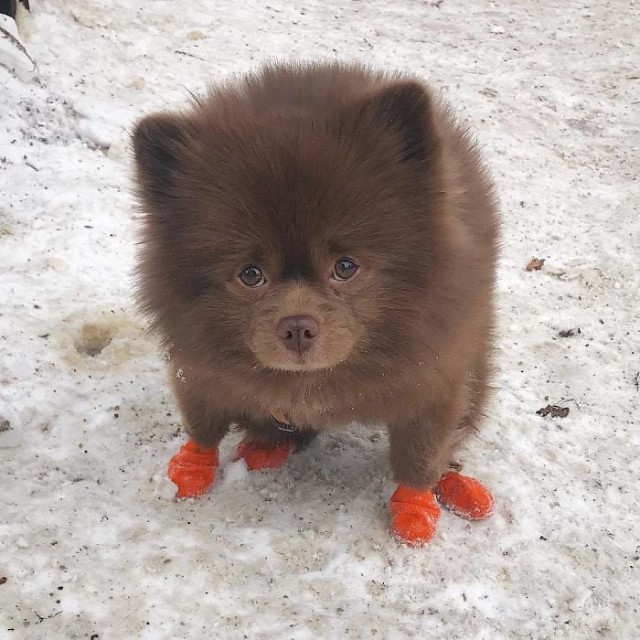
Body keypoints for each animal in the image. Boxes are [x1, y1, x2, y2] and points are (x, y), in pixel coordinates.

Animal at [134, 60, 500, 544]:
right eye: (250, 274)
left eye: (345, 267)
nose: (297, 326)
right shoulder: (198, 368)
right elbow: (202, 423)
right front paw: (193, 465)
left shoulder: (434, 379)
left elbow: (422, 450)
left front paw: (415, 506)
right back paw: (268, 444)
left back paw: (454, 484)